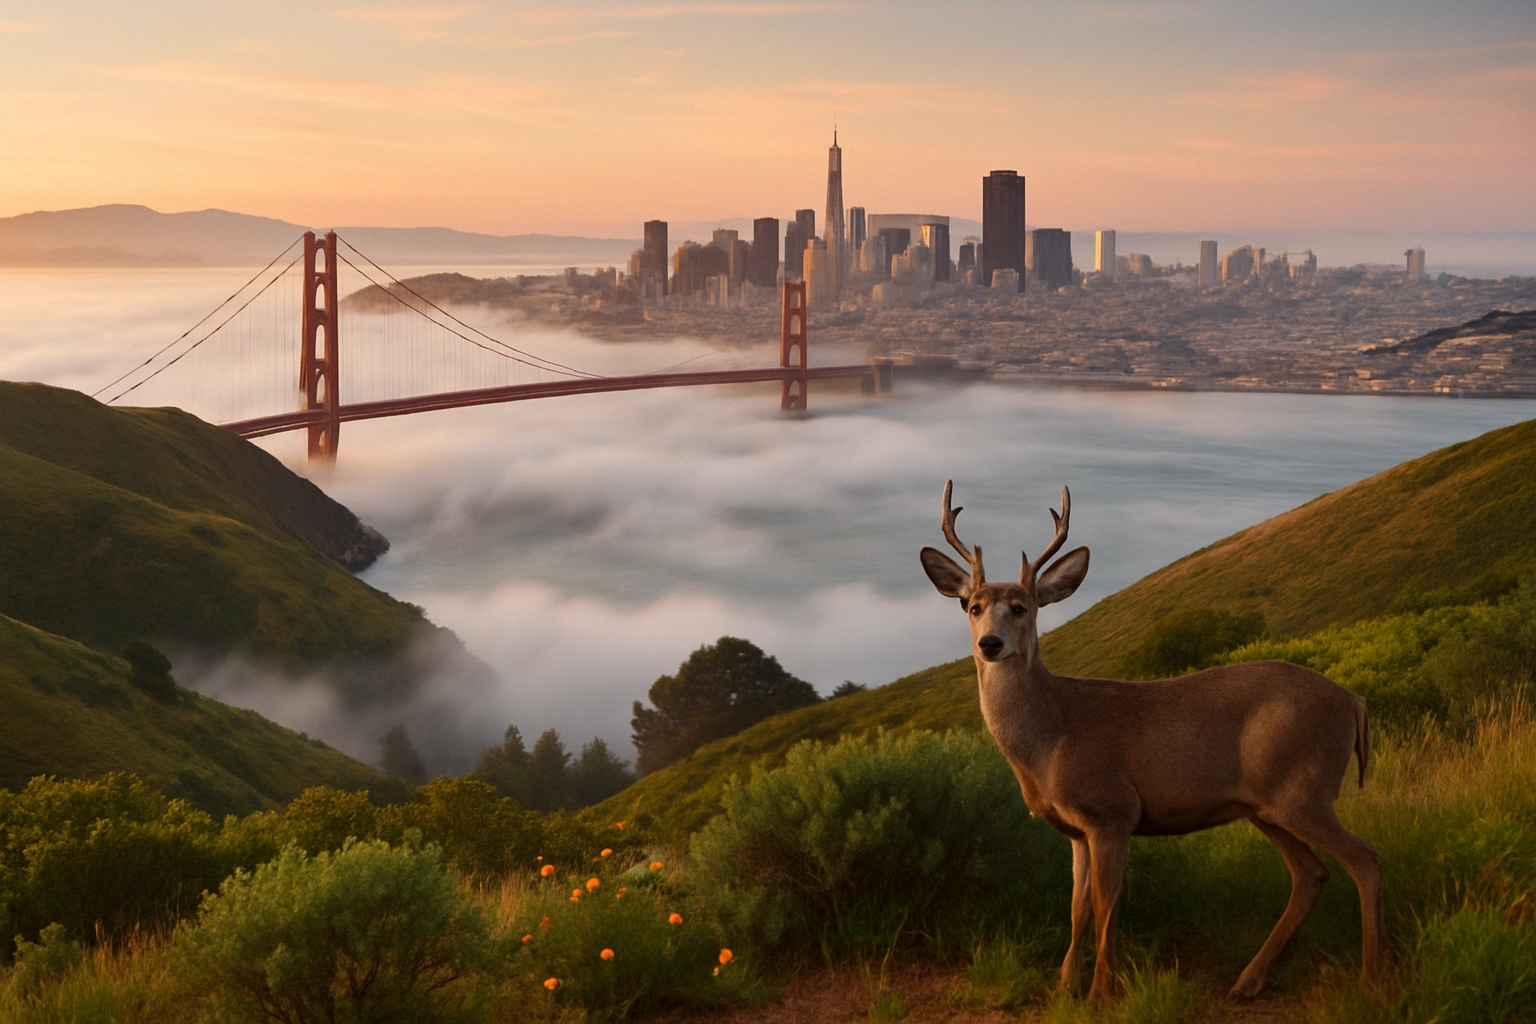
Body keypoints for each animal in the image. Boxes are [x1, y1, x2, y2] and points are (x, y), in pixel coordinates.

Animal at [919, 481, 1382, 1007]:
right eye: (972, 606)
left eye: (1022, 607)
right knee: (1311, 874)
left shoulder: (1112, 811)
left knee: (1365, 860)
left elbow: (1106, 905)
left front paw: (1101, 992)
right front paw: (1065, 987)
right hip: (1267, 805)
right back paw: (1247, 981)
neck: (1050, 739)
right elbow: (1077, 909)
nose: (991, 644)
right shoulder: (1076, 831)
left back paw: (1371, 979)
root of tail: (1354, 700)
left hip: (1304, 790)